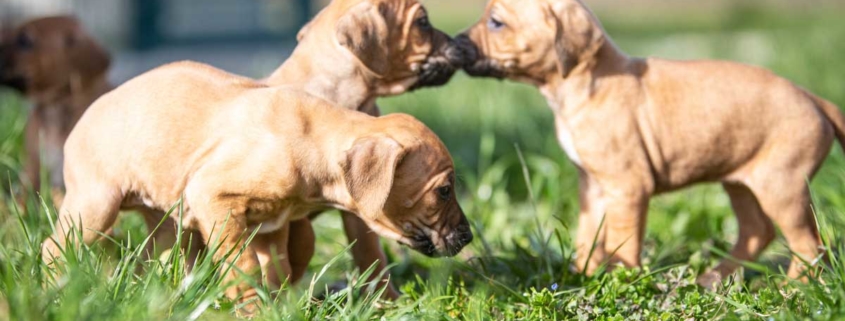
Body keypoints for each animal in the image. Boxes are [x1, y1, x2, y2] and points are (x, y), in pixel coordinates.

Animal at [39, 60, 472, 310]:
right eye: (443, 191)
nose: (469, 237)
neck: (314, 141)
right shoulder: (213, 200)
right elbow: (241, 264)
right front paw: (251, 307)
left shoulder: (273, 226)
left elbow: (276, 269)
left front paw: (278, 307)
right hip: (95, 205)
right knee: (52, 247)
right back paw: (52, 288)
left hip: (162, 220)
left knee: (154, 258)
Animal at [458, 0, 840, 286]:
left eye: (496, 22)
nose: (456, 43)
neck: (582, 83)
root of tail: (815, 99)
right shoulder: (593, 186)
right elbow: (587, 237)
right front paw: (583, 279)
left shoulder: (628, 187)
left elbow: (621, 241)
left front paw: (621, 282)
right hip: (742, 182)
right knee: (758, 231)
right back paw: (715, 279)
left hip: (782, 187)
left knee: (809, 244)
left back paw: (795, 290)